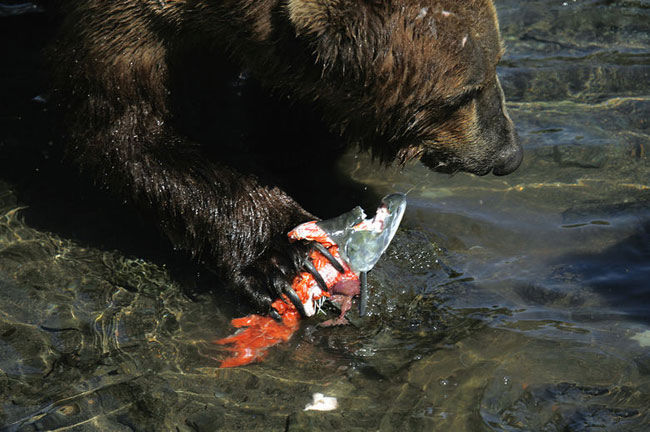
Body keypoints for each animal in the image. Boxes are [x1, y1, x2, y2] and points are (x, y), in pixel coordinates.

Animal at [48, 0, 520, 314]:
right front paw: (285, 256)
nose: (508, 154)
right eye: (463, 93)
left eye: (498, 60)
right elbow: (124, 131)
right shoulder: (125, 28)